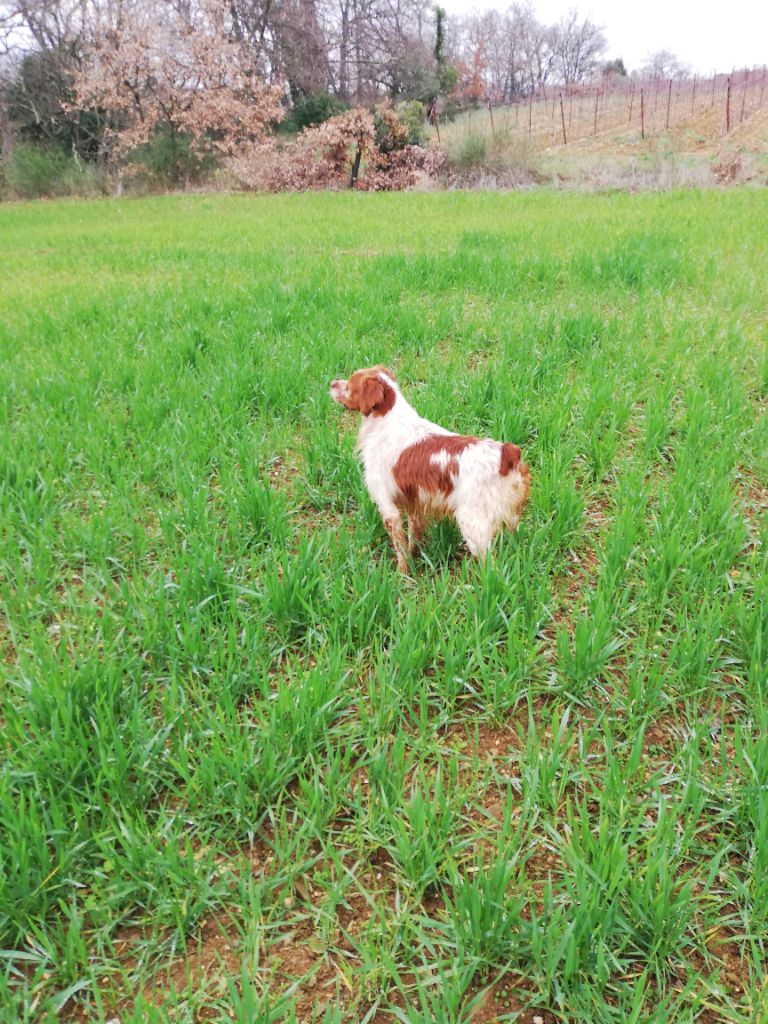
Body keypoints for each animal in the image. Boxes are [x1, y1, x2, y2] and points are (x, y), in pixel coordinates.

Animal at [327, 366, 532, 573]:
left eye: (350, 384)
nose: (332, 382)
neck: (387, 421)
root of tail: (507, 453)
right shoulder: (414, 502)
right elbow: (413, 537)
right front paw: (414, 557)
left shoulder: (387, 506)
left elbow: (400, 546)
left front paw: (402, 574)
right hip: (511, 518)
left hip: (473, 525)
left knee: (491, 568)